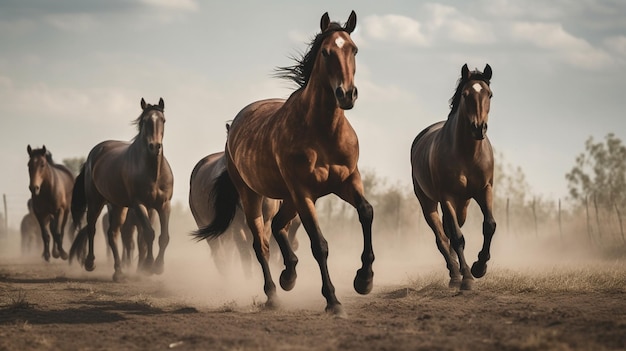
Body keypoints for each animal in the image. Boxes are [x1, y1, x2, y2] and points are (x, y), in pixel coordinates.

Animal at [69, 97, 173, 282]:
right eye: (144, 121)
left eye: (163, 120)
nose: (155, 146)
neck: (153, 172)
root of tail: (94, 154)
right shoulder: (139, 205)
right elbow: (149, 234)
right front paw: (148, 266)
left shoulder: (163, 205)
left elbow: (163, 237)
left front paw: (158, 267)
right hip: (95, 202)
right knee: (92, 228)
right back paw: (90, 263)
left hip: (118, 206)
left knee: (112, 234)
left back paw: (118, 271)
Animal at [408, 64, 494, 292]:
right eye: (465, 94)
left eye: (489, 94)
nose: (478, 128)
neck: (467, 154)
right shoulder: (446, 196)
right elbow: (455, 237)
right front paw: (467, 278)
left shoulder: (485, 189)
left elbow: (489, 225)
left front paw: (479, 267)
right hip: (429, 203)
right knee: (442, 238)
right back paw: (455, 275)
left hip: (462, 204)